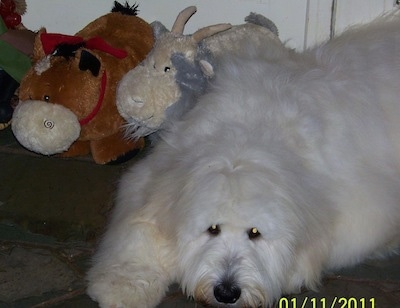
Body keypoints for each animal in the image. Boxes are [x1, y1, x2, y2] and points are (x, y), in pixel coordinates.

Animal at [86, 10, 400, 306]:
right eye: (212, 229)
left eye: (255, 233)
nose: (227, 292)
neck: (246, 139)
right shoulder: (153, 182)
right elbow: (137, 233)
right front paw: (123, 286)